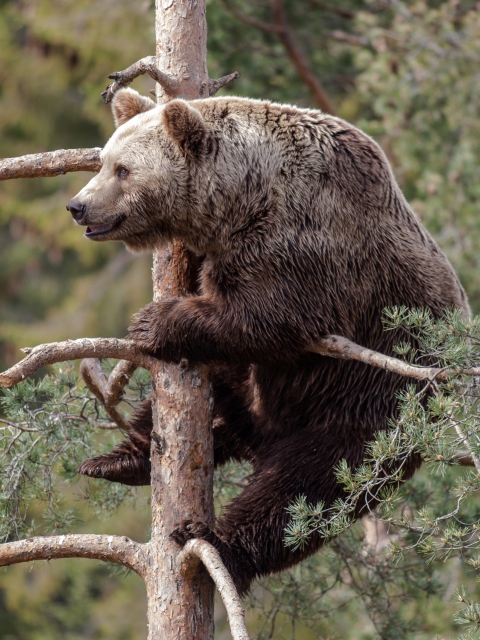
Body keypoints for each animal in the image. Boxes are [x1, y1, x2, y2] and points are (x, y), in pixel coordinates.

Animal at [66, 87, 468, 596]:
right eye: (102, 161)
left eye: (123, 169)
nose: (78, 206)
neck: (243, 198)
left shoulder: (305, 244)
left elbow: (271, 317)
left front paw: (153, 321)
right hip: (260, 392)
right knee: (205, 400)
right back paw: (118, 460)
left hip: (373, 404)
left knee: (305, 488)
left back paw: (215, 542)